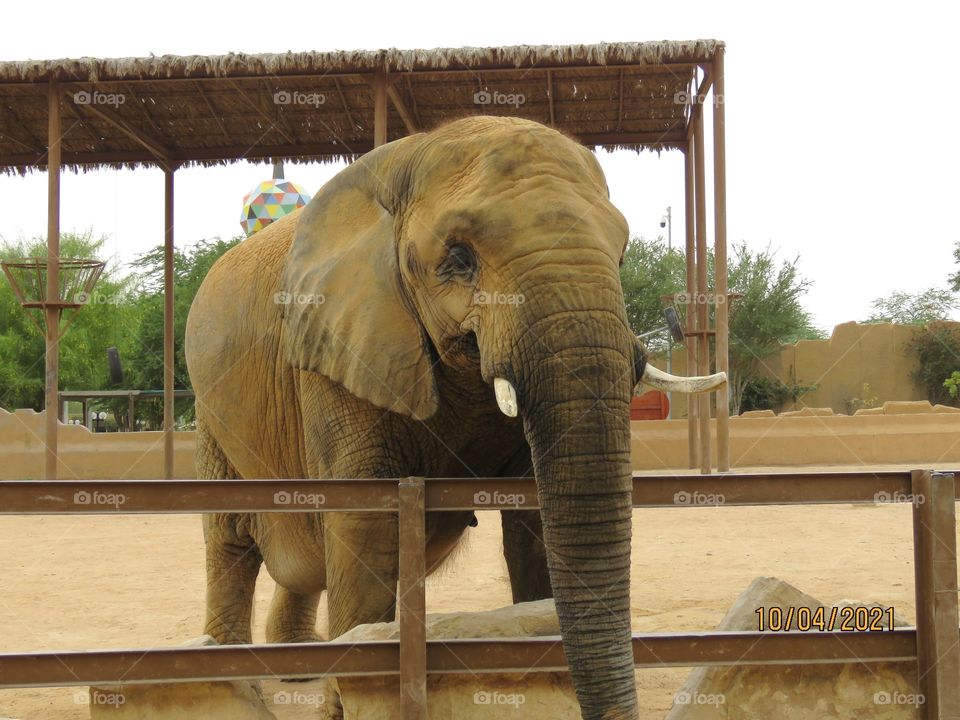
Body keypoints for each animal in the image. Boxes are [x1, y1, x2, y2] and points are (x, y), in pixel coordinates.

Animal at [185, 115, 724, 720]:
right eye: (458, 258)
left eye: (624, 254)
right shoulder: (334, 347)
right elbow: (363, 525)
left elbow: (533, 524)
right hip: (210, 412)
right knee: (231, 541)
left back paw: (298, 670)